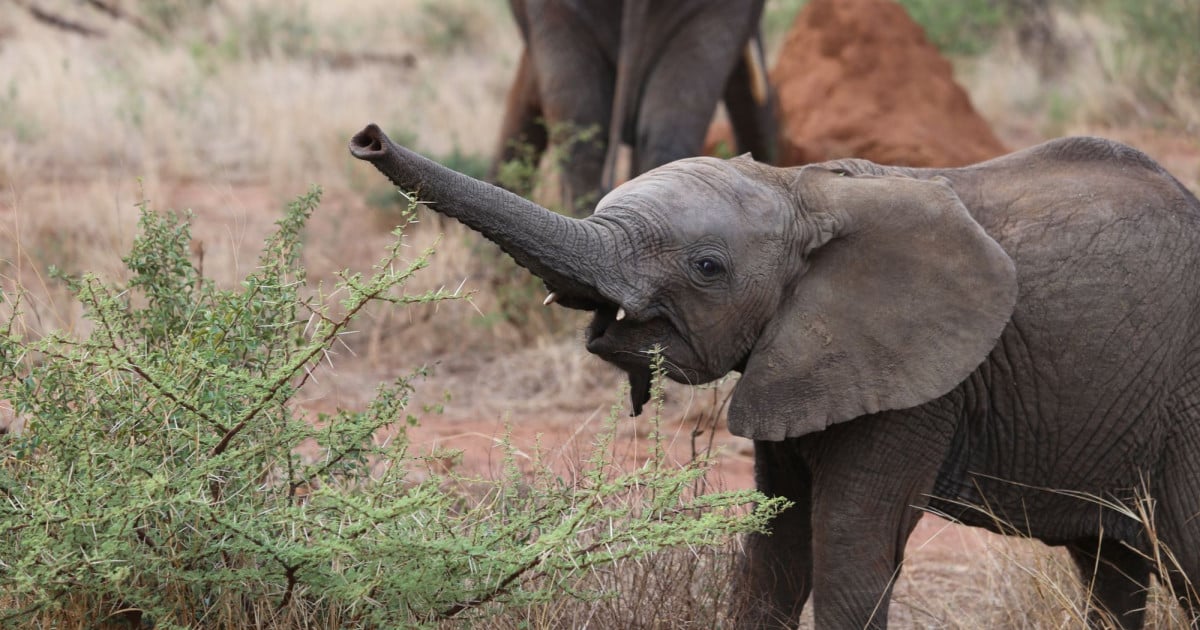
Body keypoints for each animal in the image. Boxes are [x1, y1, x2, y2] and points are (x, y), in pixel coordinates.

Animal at [351, 123, 1200, 629]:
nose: (367, 138)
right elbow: (774, 557)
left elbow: (850, 555)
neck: (806, 188)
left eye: (707, 267)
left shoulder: (920, 386)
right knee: (1113, 572)